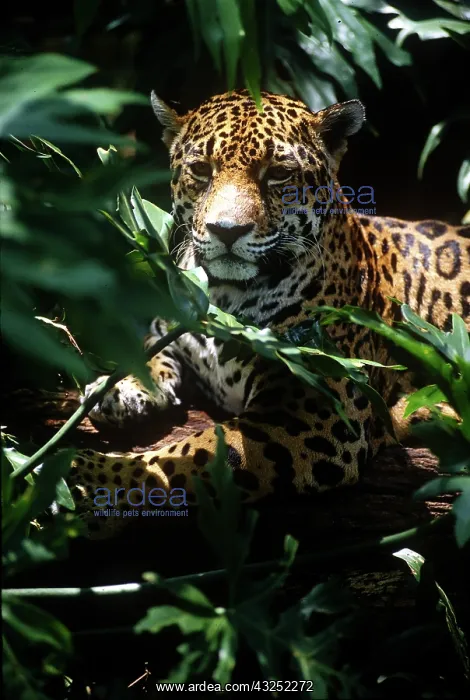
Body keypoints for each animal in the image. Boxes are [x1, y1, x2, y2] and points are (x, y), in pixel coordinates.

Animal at [69, 89, 470, 539]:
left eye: (278, 174)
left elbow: (195, 453)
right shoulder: (173, 322)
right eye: (201, 169)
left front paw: (95, 481)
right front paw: (116, 388)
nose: (226, 230)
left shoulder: (315, 413)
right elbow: (149, 348)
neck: (225, 296)